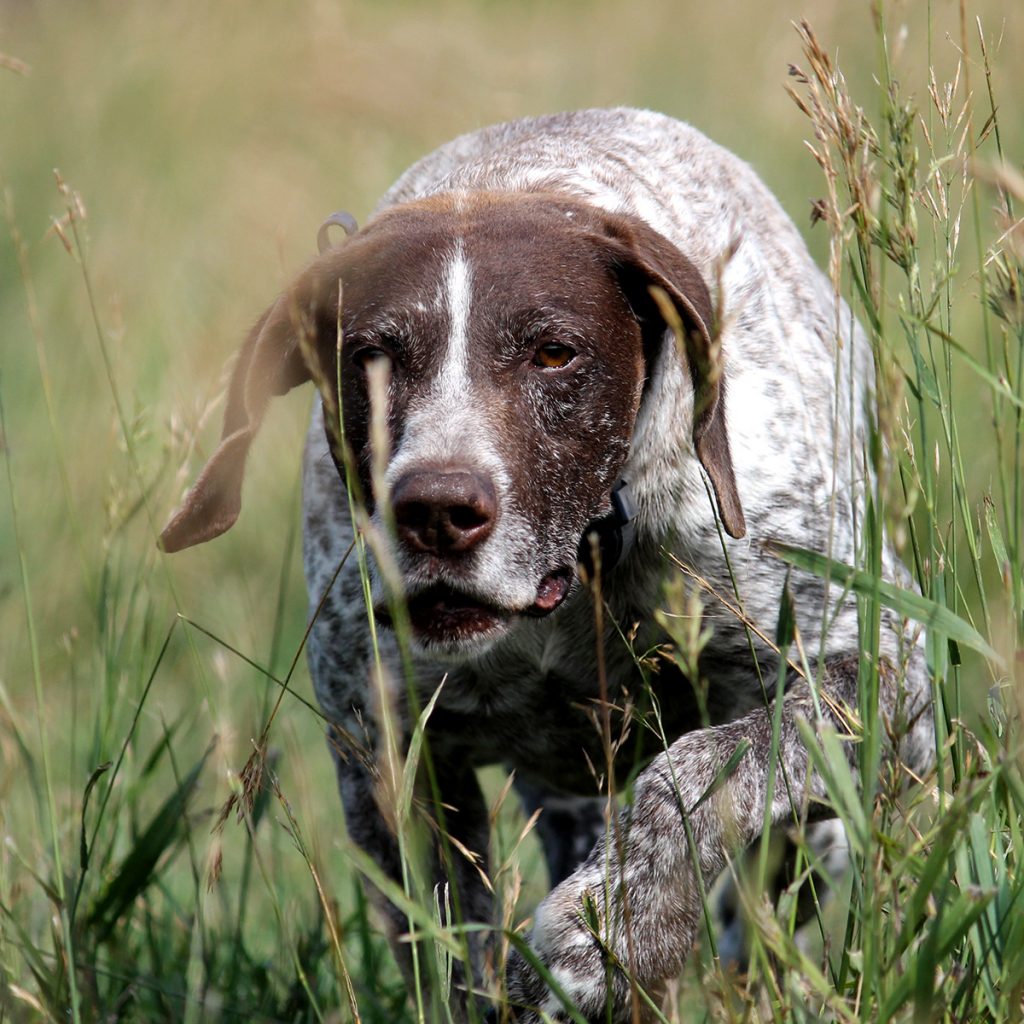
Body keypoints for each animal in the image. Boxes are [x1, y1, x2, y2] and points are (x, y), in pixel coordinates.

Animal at [161, 108, 937, 1019]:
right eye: (369, 358)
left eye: (556, 354)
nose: (437, 511)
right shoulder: (388, 762)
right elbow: (450, 944)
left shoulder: (891, 677)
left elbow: (706, 769)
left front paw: (610, 937)